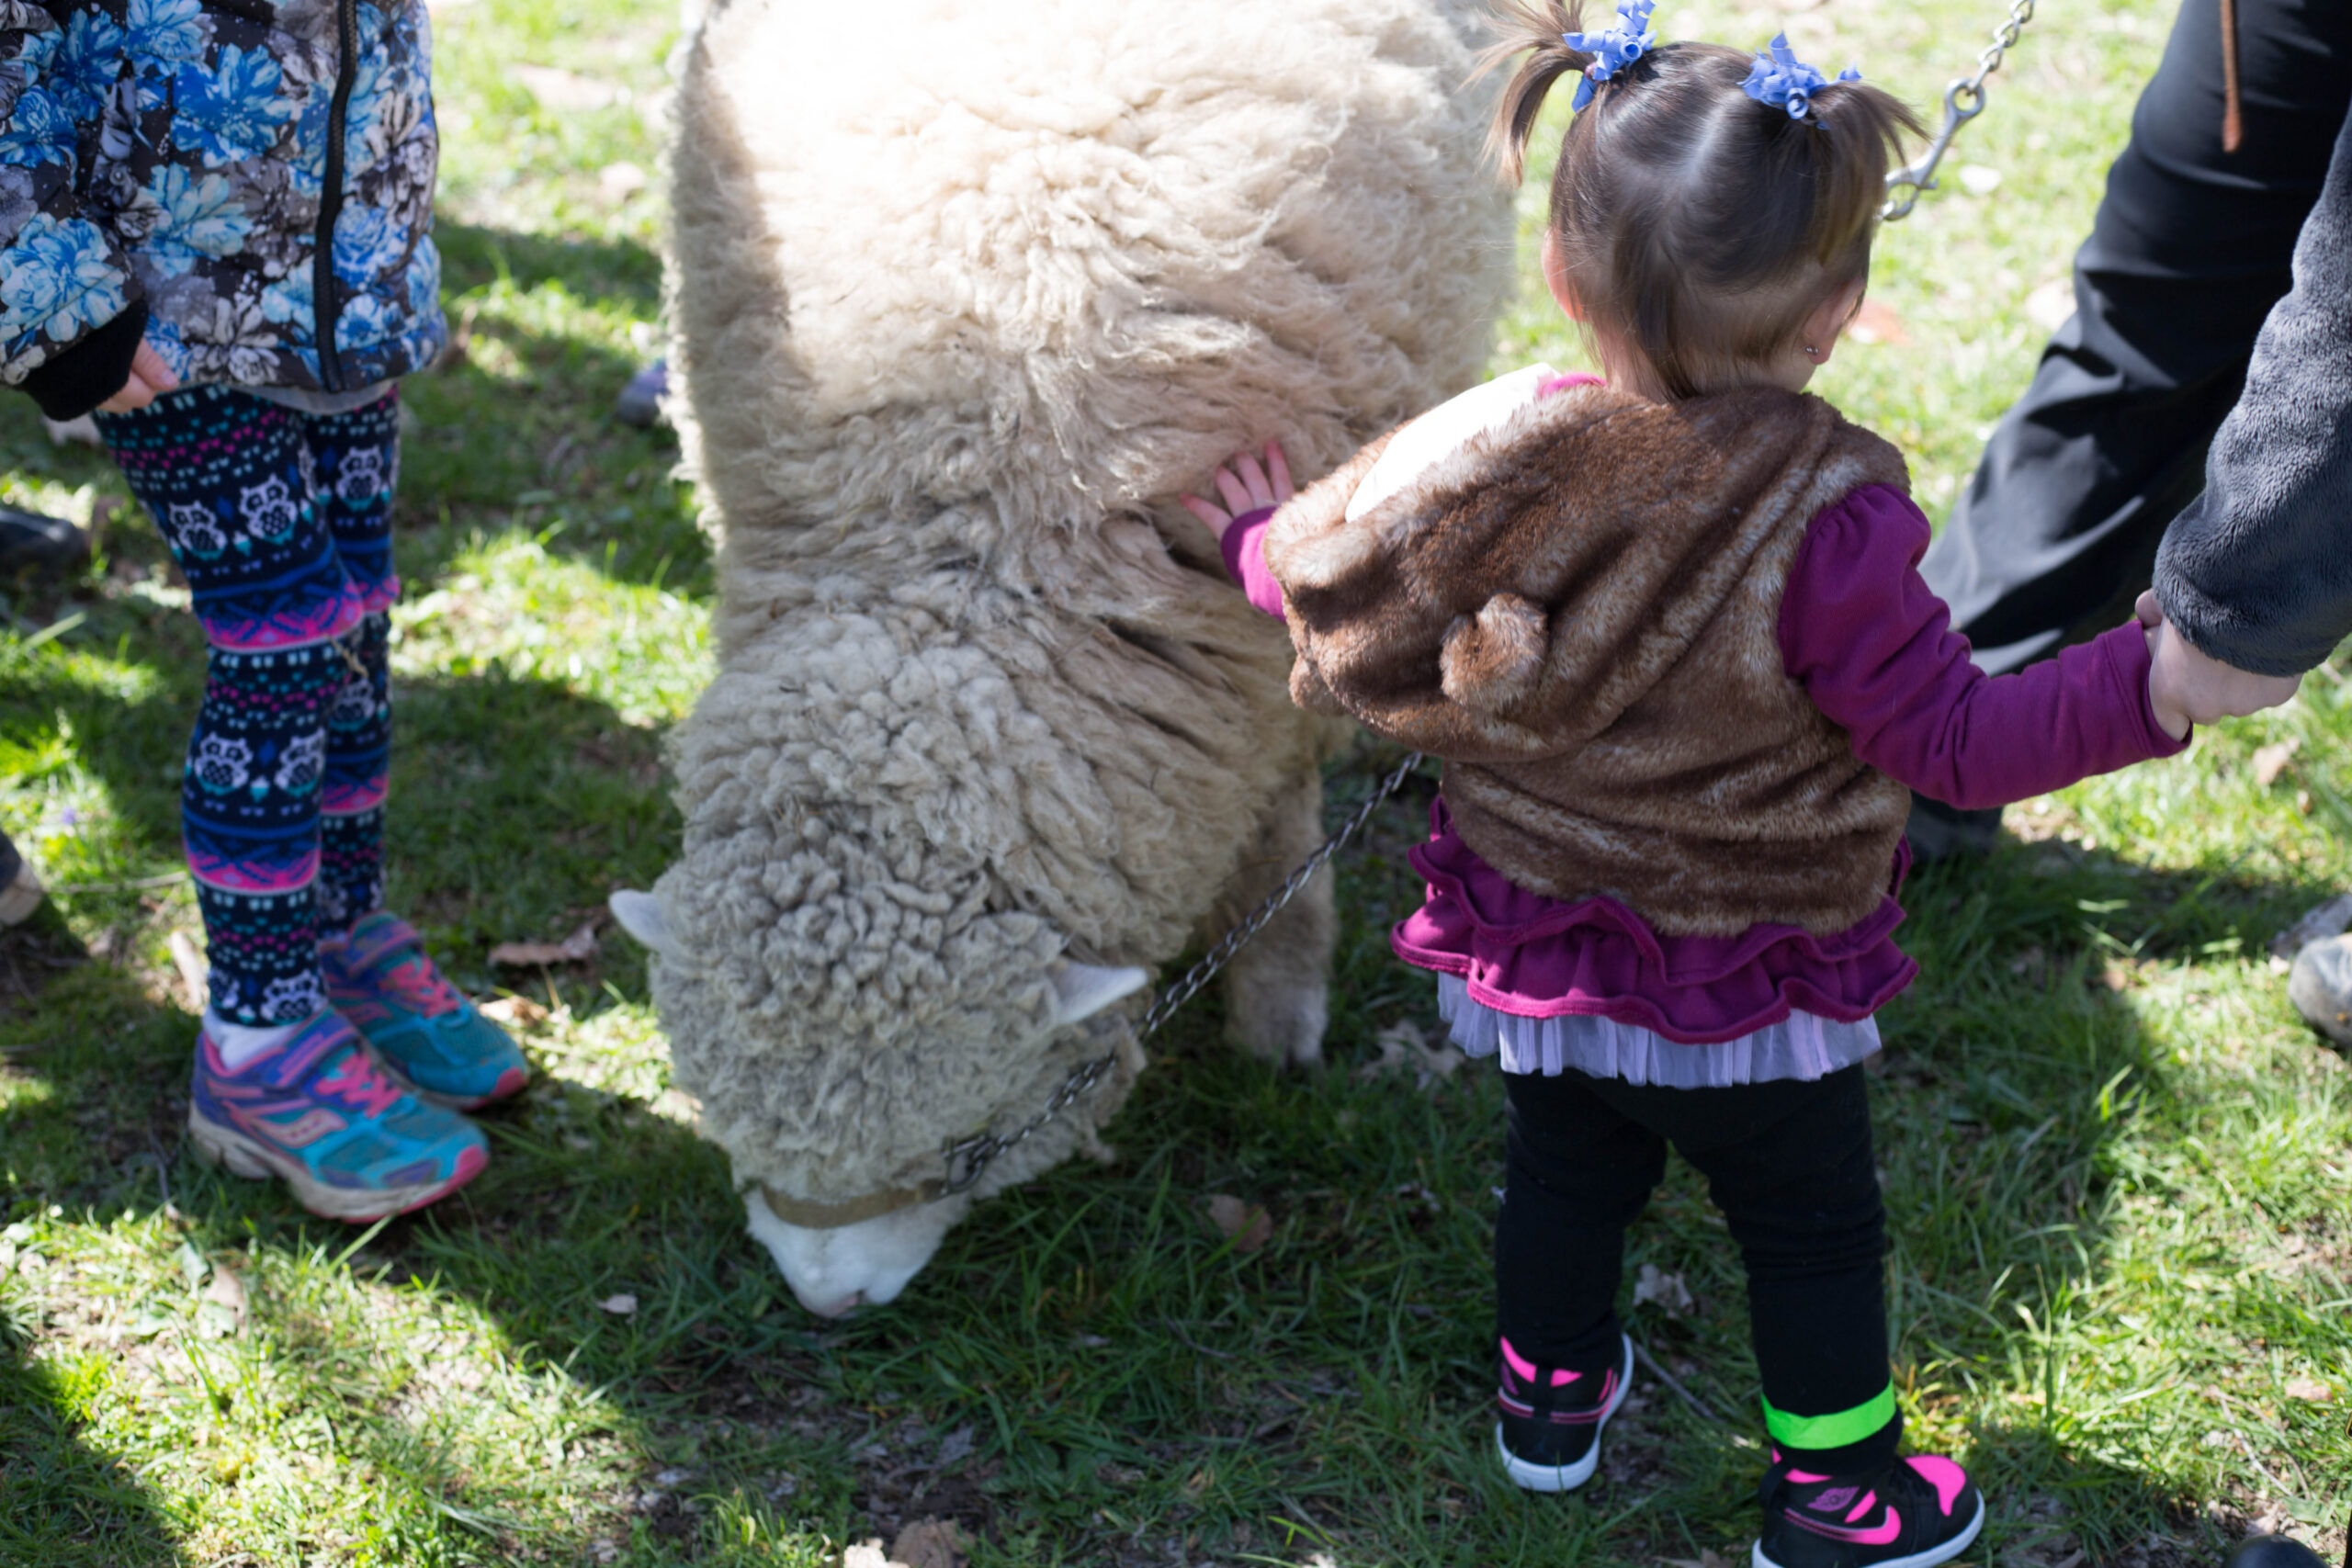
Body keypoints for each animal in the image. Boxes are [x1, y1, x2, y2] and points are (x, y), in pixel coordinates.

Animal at [612, 0, 1514, 1317]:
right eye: (732, 1133)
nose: (831, 1302)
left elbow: (1280, 825)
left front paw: (1279, 1016)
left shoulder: (1257, 657)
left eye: (968, 1144)